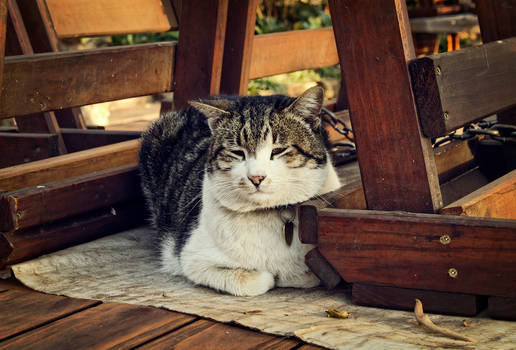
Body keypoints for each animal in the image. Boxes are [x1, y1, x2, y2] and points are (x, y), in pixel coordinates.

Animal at [140, 86, 342, 296]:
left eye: (277, 151)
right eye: (237, 152)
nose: (256, 177)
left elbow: (310, 274)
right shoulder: (192, 258)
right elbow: (254, 281)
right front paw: (270, 276)